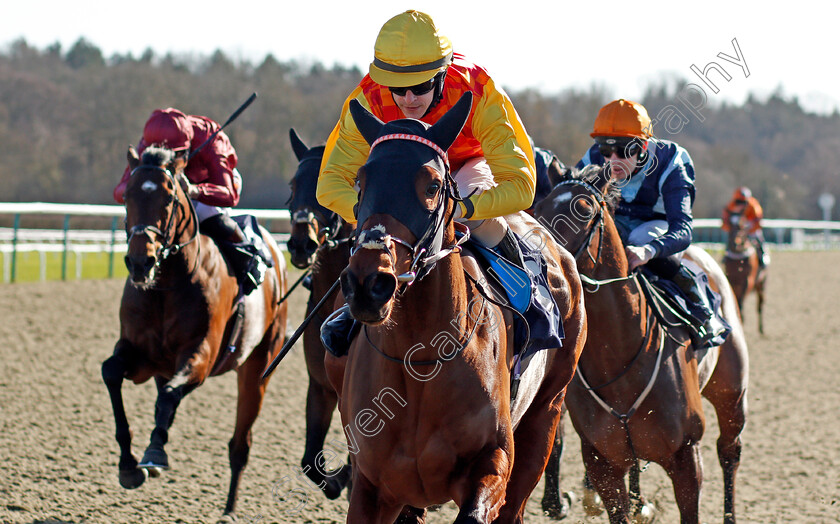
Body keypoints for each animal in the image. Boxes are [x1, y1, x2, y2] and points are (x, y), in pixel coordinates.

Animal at [101, 144, 288, 520]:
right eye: (127, 195)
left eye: (169, 198)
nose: (140, 262)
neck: (167, 284)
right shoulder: (139, 354)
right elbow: (112, 372)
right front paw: (129, 465)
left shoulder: (201, 355)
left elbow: (171, 394)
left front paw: (154, 452)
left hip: (259, 364)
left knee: (240, 443)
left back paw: (229, 510)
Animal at [324, 92, 588, 520]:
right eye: (361, 182)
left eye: (433, 184)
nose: (369, 284)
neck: (419, 357)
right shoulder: (372, 484)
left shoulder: (494, 462)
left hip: (546, 414)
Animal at [532, 165, 748, 524]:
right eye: (538, 208)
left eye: (585, 209)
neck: (618, 358)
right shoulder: (602, 461)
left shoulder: (687, 456)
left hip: (732, 391)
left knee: (729, 452)